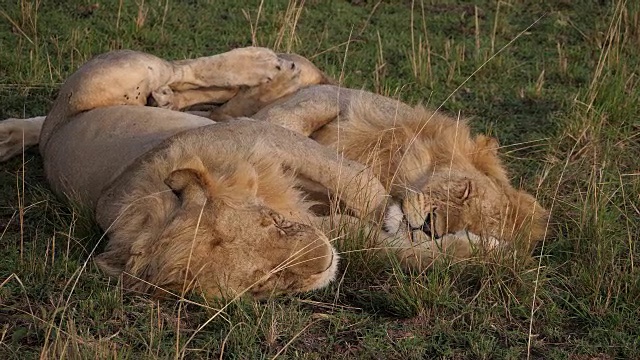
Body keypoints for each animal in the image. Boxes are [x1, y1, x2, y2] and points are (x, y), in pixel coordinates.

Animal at [0, 46, 548, 296]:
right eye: (259, 285)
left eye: (274, 223)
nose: (430, 225)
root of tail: (59, 125)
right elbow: (365, 200)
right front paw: (405, 224)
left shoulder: (277, 149)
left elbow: (368, 209)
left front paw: (470, 249)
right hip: (123, 77)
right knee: (176, 72)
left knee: (185, 78)